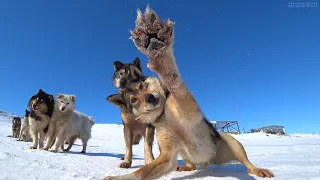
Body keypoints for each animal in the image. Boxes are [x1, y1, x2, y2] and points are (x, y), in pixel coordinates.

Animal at [104, 5, 274, 180]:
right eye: (133, 100)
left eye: (142, 85)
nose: (150, 98)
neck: (163, 115)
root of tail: (210, 162)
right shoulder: (167, 155)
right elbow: (141, 172)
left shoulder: (188, 110)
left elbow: (174, 83)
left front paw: (161, 56)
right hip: (184, 153)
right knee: (192, 164)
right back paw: (185, 167)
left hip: (231, 141)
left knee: (247, 163)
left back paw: (258, 170)